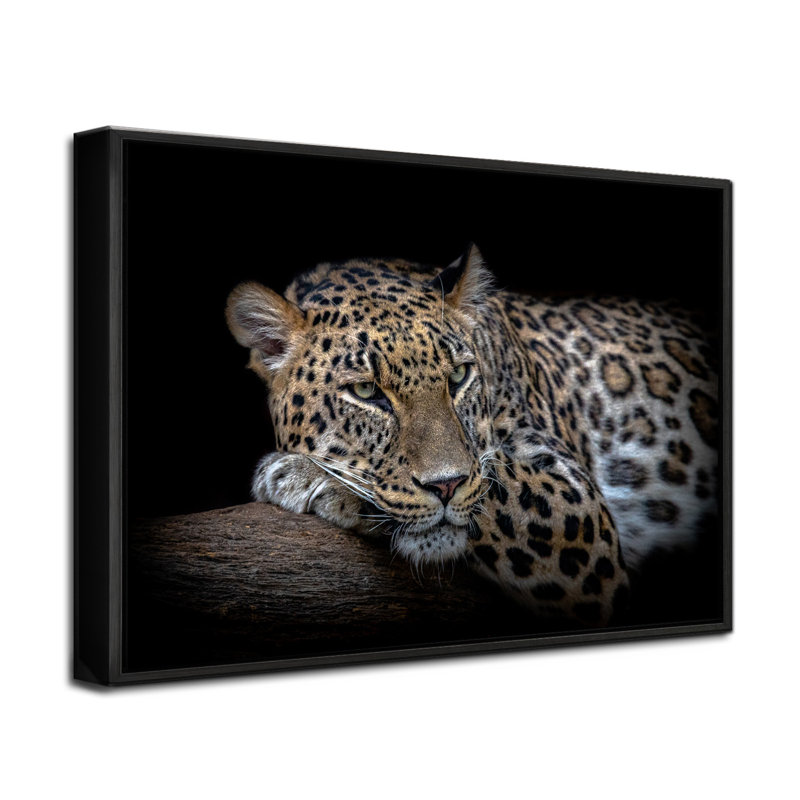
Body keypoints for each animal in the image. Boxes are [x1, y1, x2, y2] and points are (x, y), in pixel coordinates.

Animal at [225, 244, 719, 626]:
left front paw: (308, 476)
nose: (446, 486)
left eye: (459, 375)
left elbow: (495, 483)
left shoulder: (578, 507)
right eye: (366, 391)